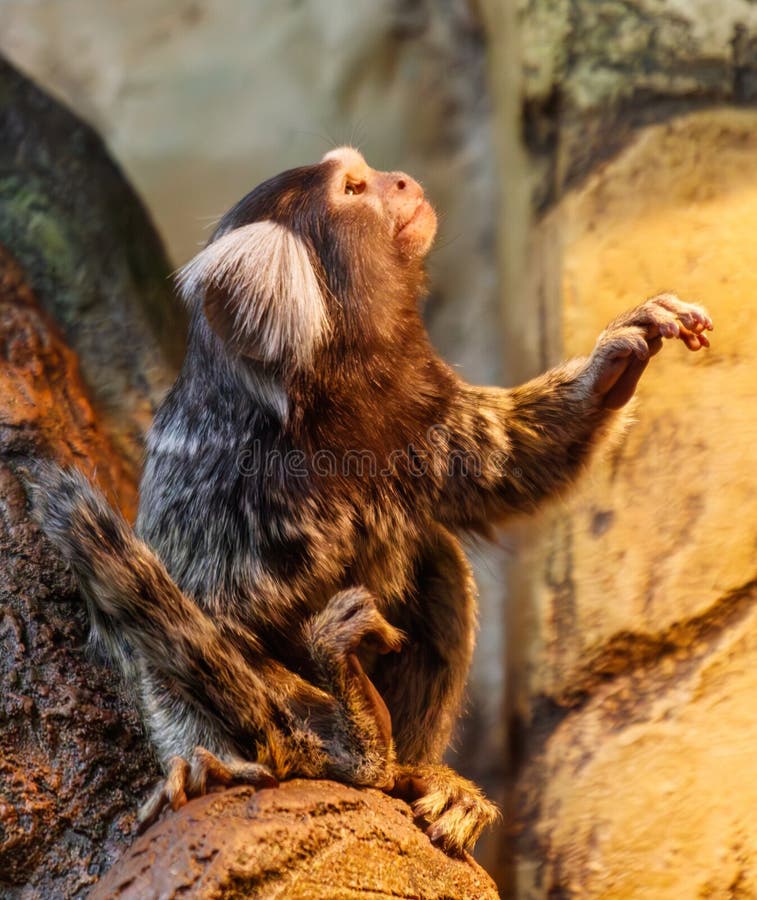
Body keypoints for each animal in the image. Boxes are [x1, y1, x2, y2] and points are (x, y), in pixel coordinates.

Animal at [31, 146, 712, 856]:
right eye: (355, 189)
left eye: (365, 171)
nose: (403, 181)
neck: (329, 408)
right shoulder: (215, 491)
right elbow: (181, 630)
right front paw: (290, 751)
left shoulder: (422, 412)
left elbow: (500, 462)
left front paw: (612, 365)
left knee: (437, 559)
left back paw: (417, 772)